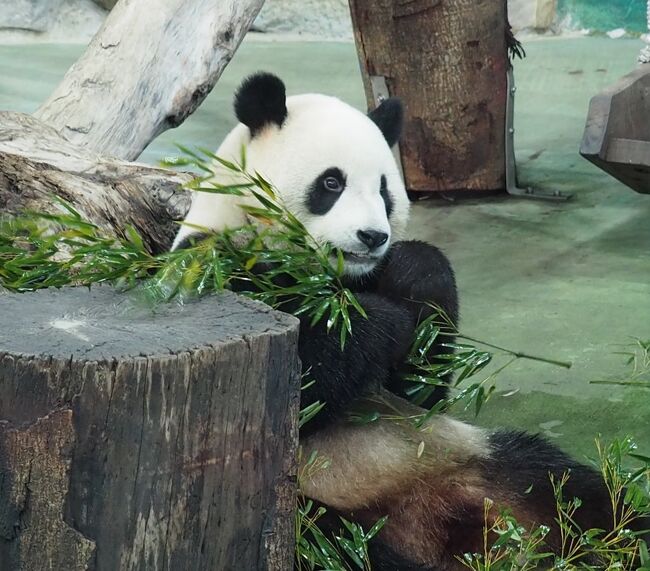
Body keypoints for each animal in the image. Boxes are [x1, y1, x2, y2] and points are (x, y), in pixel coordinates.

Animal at [173, 73, 624, 568]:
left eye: (385, 190)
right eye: (331, 182)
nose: (372, 236)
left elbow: (420, 385)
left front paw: (415, 280)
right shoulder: (214, 270)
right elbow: (307, 370)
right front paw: (380, 322)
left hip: (483, 461)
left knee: (578, 492)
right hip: (314, 517)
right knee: (339, 548)